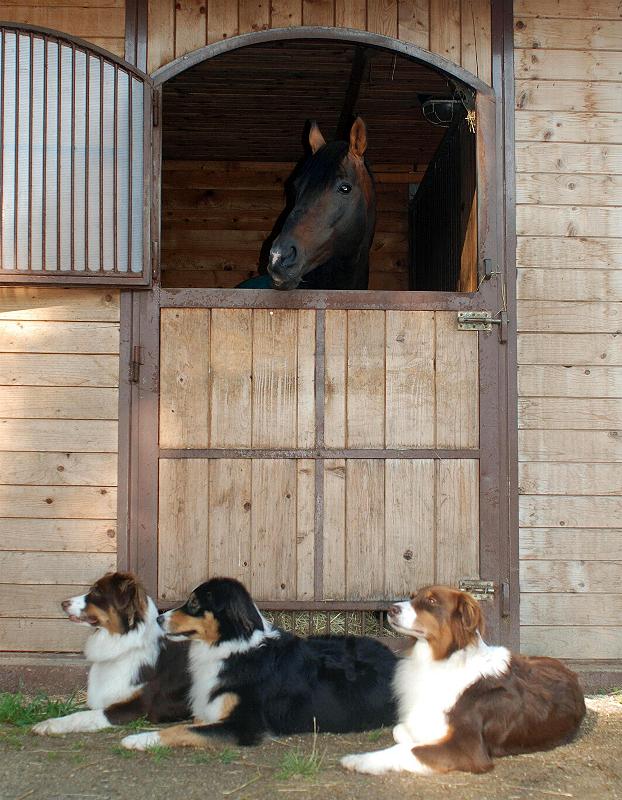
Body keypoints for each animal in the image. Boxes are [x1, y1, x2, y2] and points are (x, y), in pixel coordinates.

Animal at [33, 572, 190, 736]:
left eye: (96, 591)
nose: (63, 603)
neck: (124, 645)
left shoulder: (139, 707)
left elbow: (84, 715)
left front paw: (49, 724)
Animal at [119, 576, 398, 752]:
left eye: (194, 603)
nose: (159, 619)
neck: (231, 647)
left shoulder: (246, 725)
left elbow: (182, 730)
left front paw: (139, 739)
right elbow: (189, 725)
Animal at [338, 584, 588, 780]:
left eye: (431, 601)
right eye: (412, 596)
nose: (391, 609)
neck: (441, 659)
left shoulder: (467, 748)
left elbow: (407, 750)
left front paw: (359, 760)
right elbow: (401, 732)